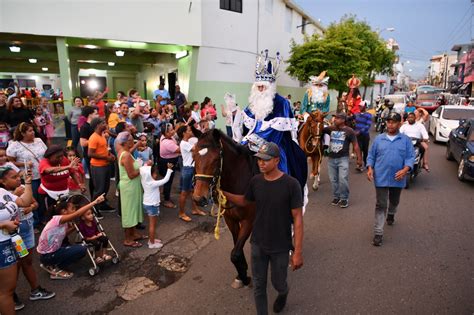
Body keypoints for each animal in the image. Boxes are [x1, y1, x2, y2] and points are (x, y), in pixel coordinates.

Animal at [191, 128, 258, 288]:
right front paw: (241, 274)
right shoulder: (230, 219)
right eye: (194, 156)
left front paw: (244, 277)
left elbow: (235, 254)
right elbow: (236, 249)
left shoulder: (248, 220)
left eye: (216, 159)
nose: (199, 198)